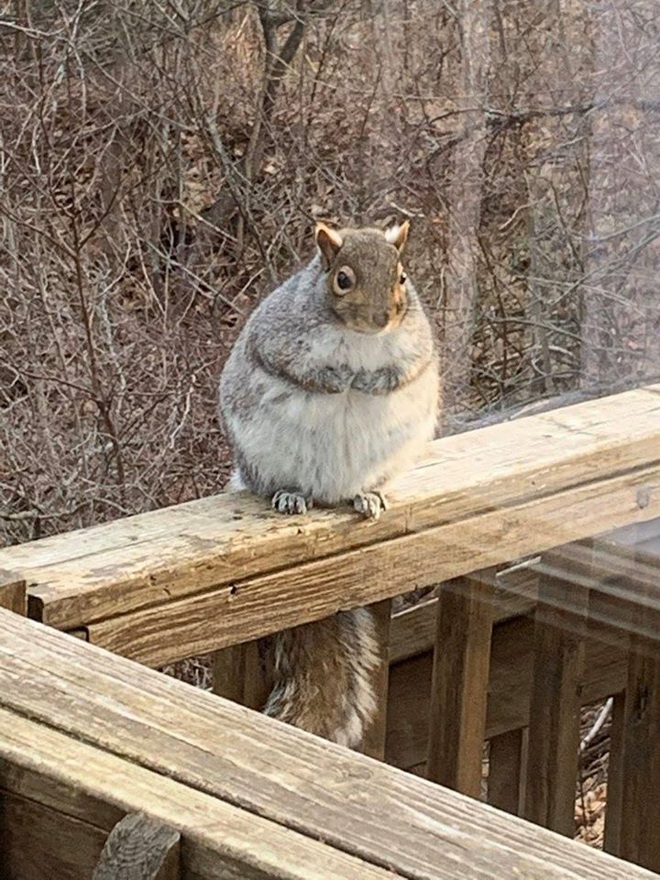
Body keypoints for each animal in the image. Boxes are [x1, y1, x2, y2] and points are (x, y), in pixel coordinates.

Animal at [219, 222, 440, 748]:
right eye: (342, 279)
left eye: (402, 277)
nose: (382, 318)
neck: (359, 339)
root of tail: (329, 490)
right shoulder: (280, 337)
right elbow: (302, 369)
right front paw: (340, 379)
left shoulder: (416, 344)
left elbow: (406, 368)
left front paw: (372, 381)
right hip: (265, 455)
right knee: (284, 484)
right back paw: (291, 495)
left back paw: (367, 495)